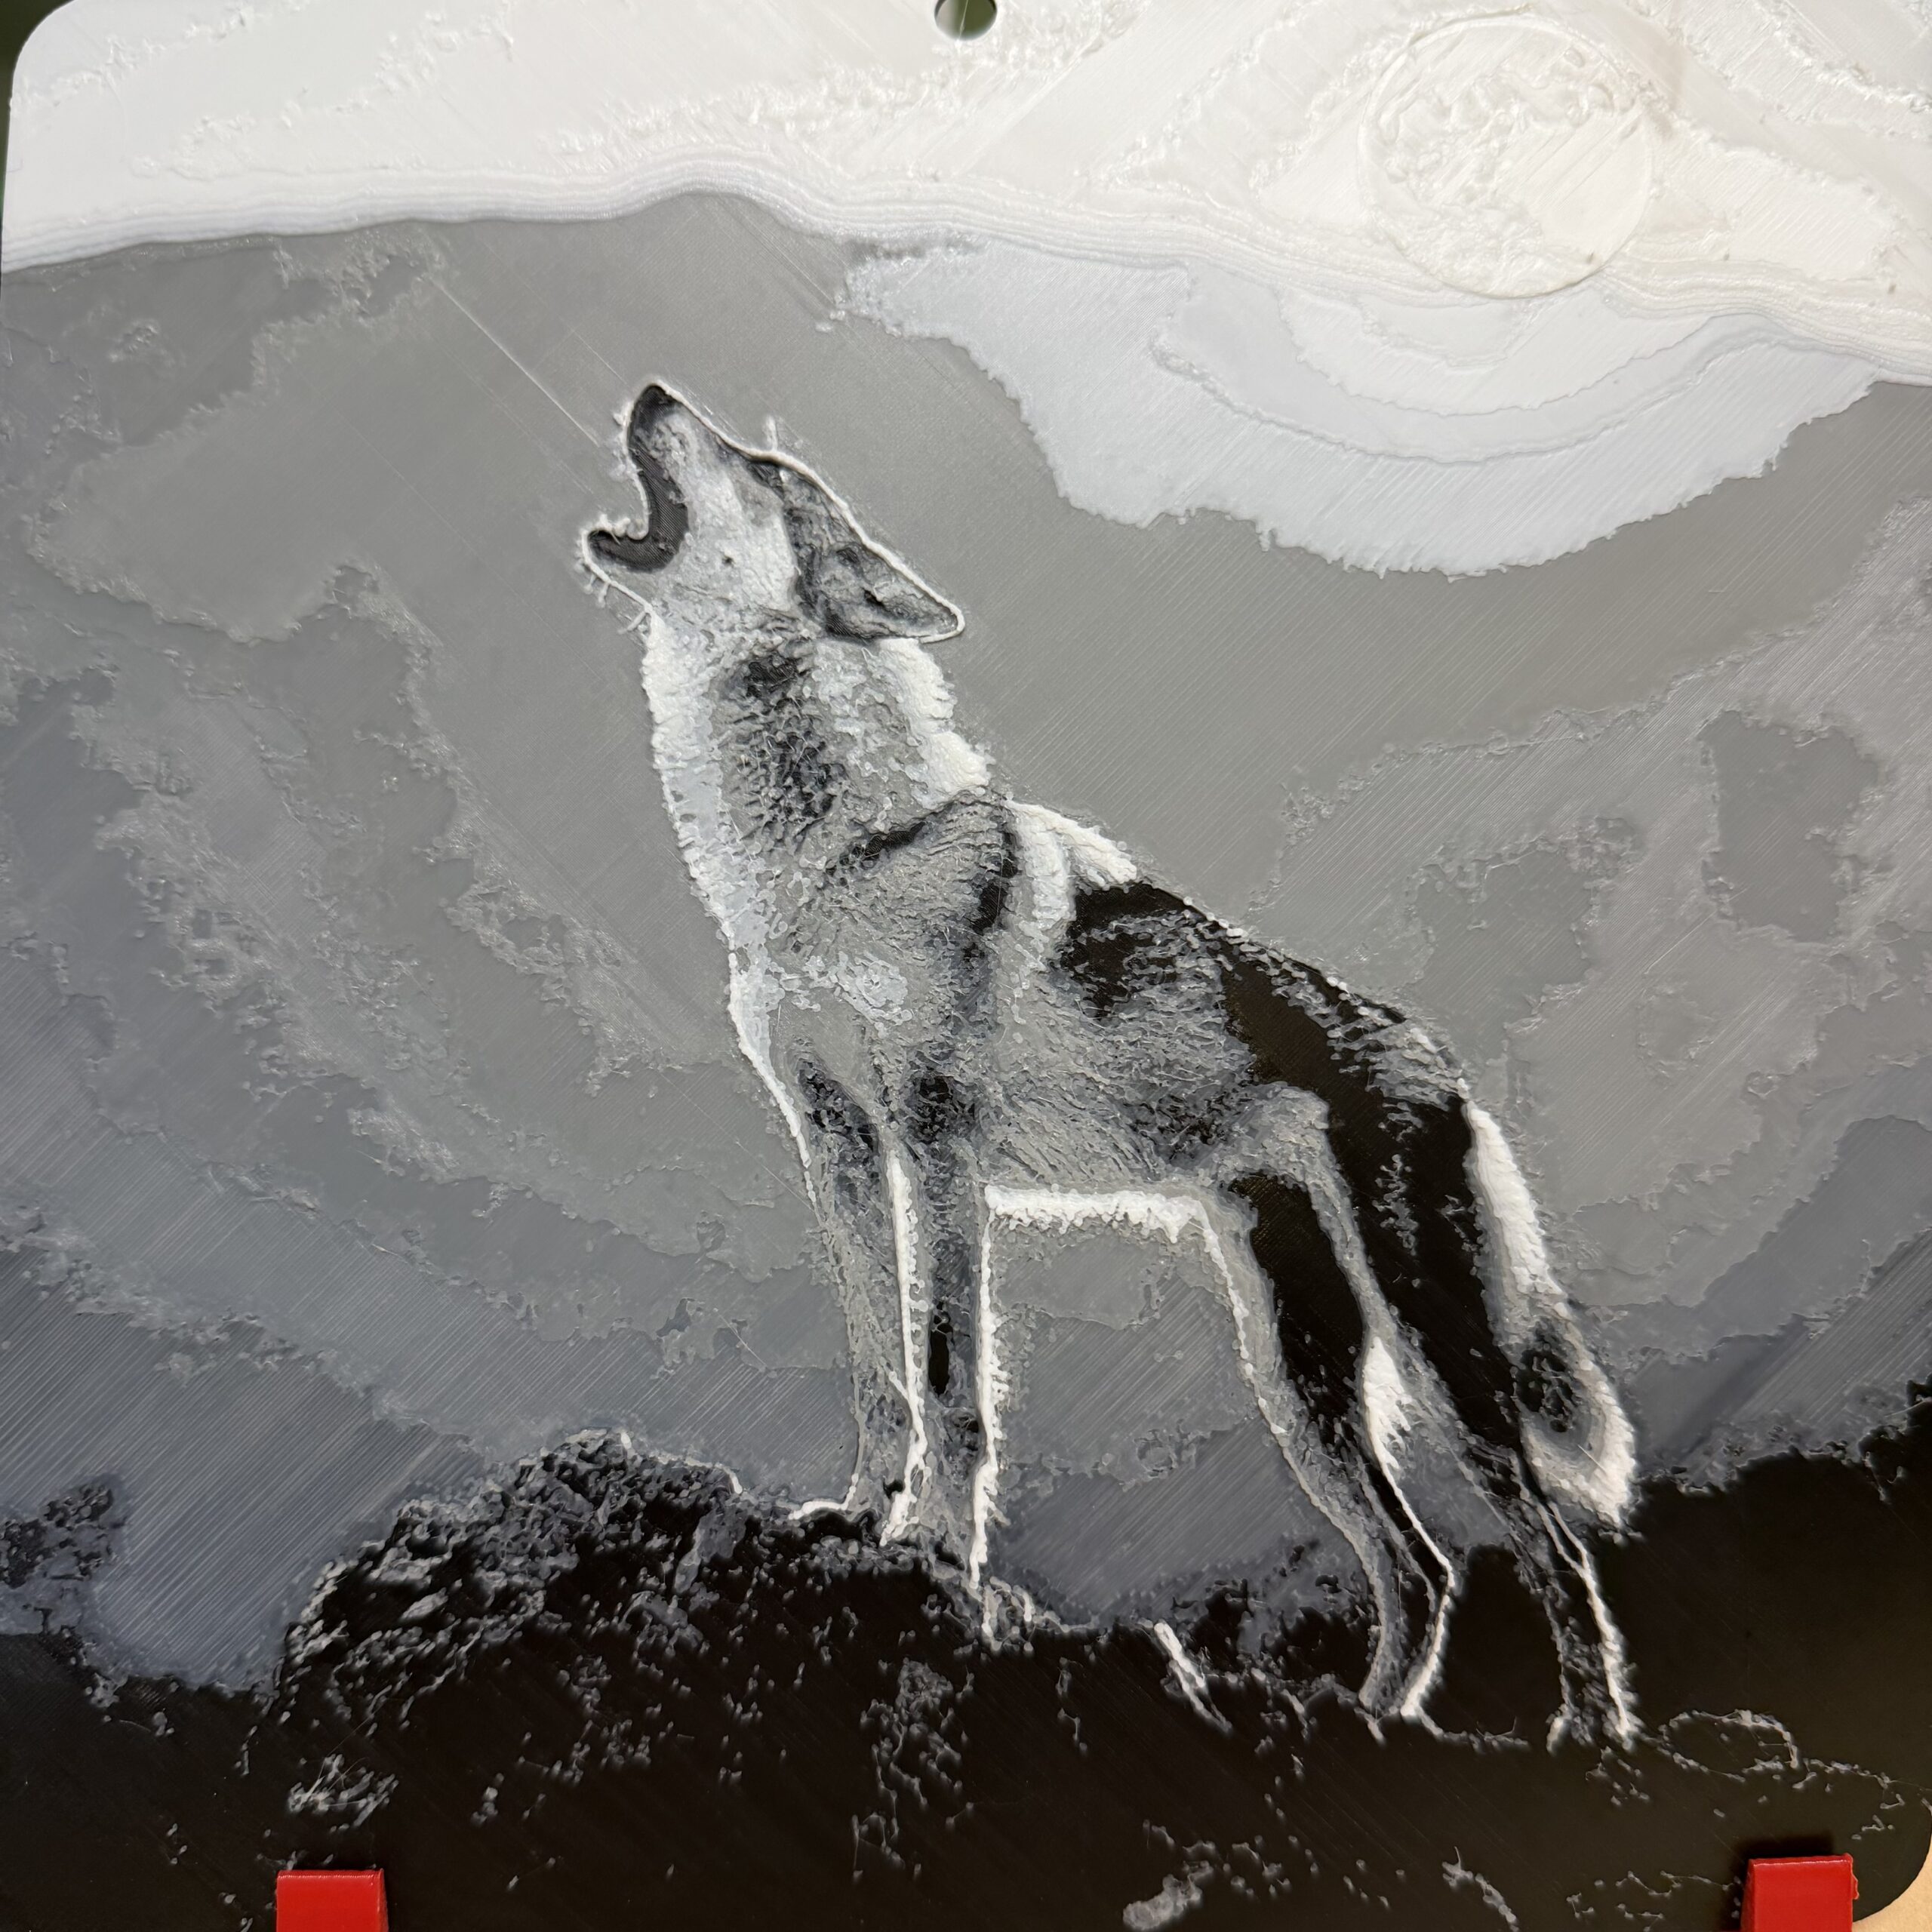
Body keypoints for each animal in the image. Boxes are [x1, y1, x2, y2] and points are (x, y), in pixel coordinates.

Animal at [582, 383, 1640, 1745]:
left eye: (761, 466)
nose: (653, 393)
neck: (833, 864)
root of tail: (1441, 1061)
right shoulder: (837, 1151)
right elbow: (878, 1376)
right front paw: (860, 1520)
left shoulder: (935, 1153)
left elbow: (949, 1385)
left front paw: (938, 1557)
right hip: (1300, 1383)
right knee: (1421, 1566)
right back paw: (1362, 1721)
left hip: (1439, 1364)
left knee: (1552, 1546)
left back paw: (1590, 1737)